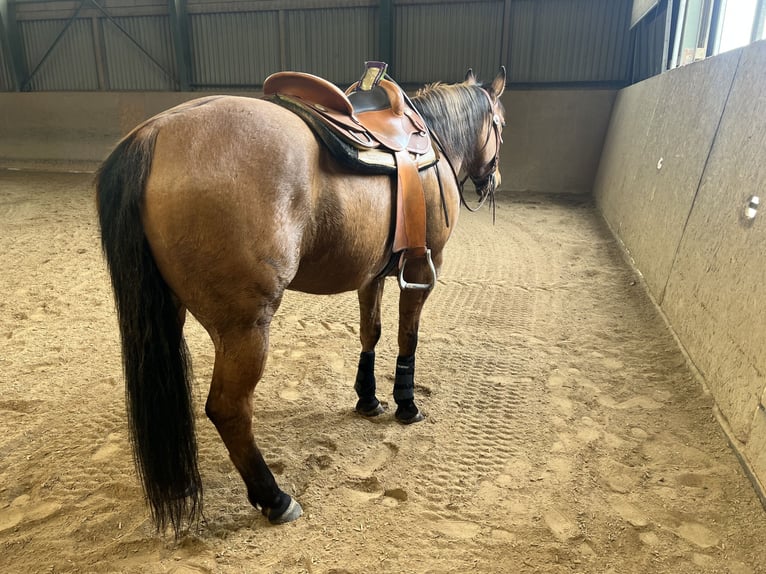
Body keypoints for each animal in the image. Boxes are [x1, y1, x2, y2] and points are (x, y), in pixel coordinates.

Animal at [95, 67, 506, 536]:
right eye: (501, 124)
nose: (494, 181)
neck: (431, 144)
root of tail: (155, 133)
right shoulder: (422, 269)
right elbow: (408, 338)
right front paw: (406, 404)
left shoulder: (372, 275)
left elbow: (371, 332)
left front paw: (368, 399)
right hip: (244, 327)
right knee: (228, 408)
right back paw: (274, 498)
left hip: (166, 314)